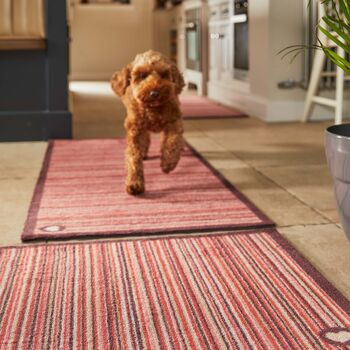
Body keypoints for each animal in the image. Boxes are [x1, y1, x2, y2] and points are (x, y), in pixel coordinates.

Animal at [111, 50, 186, 196]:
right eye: (142, 75)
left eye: (164, 74)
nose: (154, 93)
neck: (152, 108)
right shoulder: (134, 130)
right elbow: (133, 156)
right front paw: (134, 183)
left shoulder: (174, 121)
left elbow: (172, 141)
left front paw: (168, 162)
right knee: (145, 139)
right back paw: (144, 153)